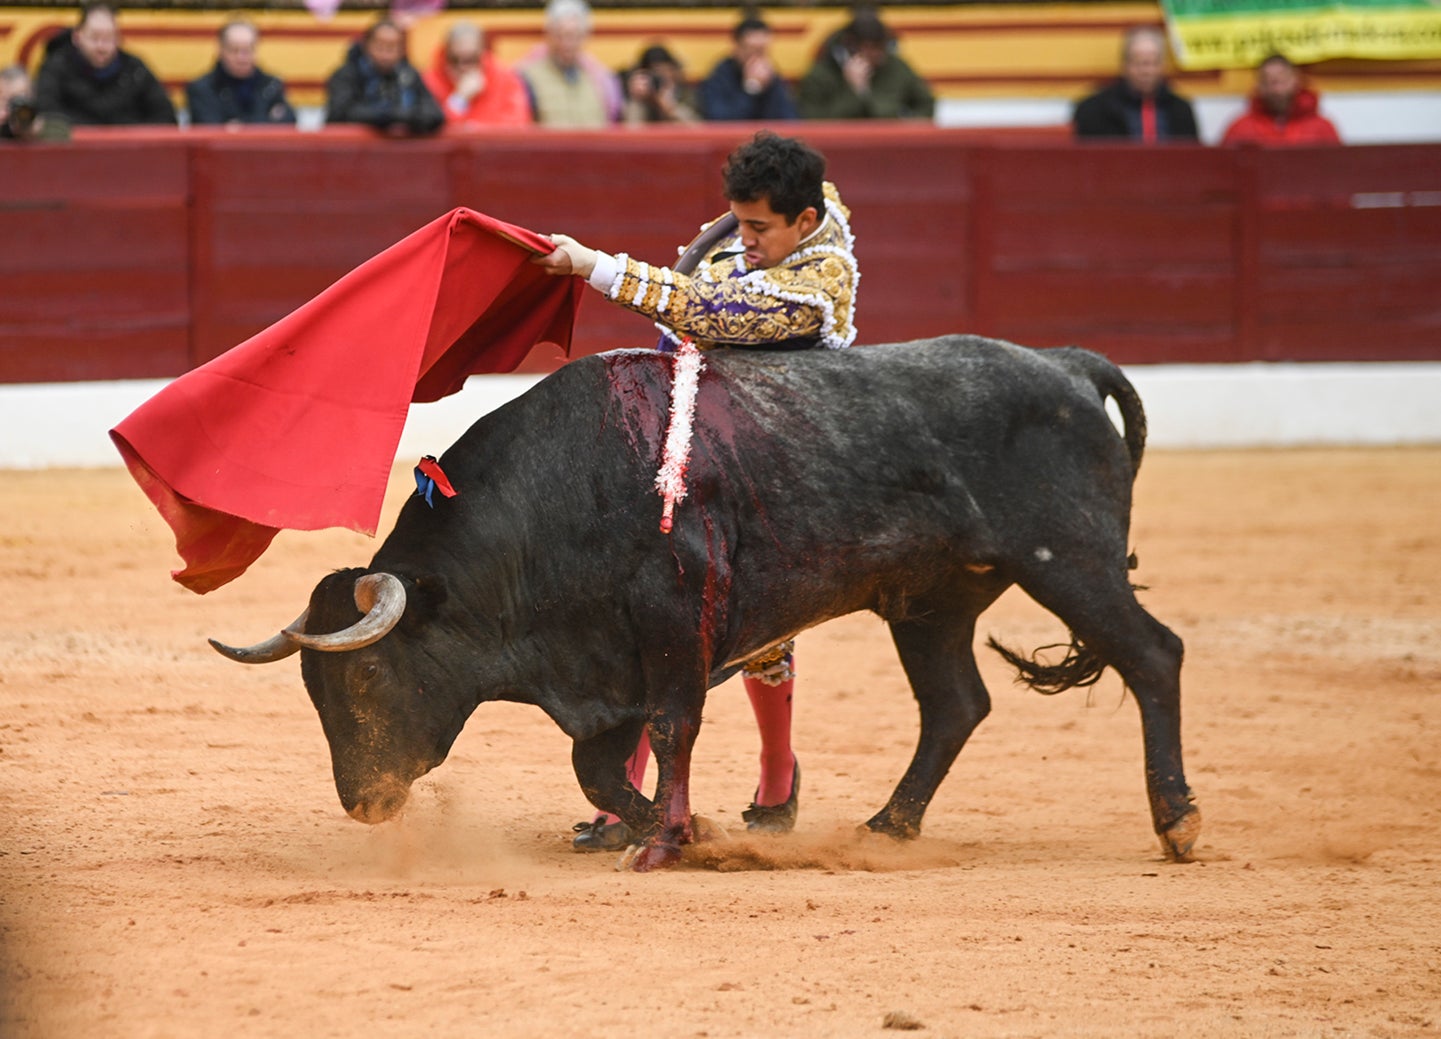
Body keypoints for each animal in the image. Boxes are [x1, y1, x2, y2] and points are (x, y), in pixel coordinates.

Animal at [213, 335, 1198, 870]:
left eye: (367, 678)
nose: (362, 802)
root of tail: (1064, 366)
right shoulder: (600, 665)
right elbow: (599, 767)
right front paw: (689, 828)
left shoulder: (672, 622)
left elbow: (670, 731)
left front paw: (664, 842)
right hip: (932, 601)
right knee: (956, 702)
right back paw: (887, 826)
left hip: (1071, 561)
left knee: (1153, 655)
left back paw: (1178, 822)